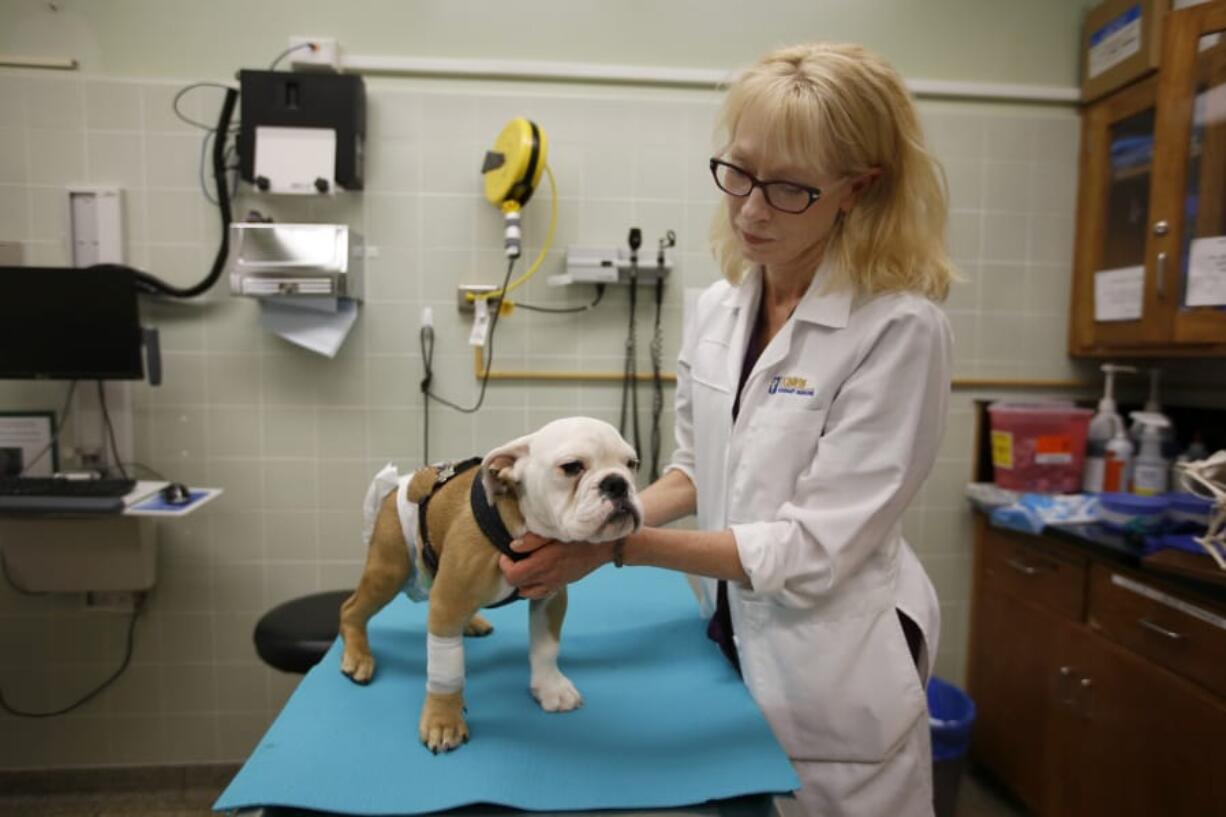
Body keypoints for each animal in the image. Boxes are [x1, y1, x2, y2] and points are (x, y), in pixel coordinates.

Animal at [335, 417, 642, 755]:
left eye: (632, 464)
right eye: (572, 467)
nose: (617, 483)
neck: (520, 524)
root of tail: (396, 486)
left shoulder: (550, 594)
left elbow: (546, 646)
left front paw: (550, 686)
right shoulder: (450, 598)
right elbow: (447, 670)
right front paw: (443, 720)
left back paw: (471, 623)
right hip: (389, 570)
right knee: (351, 609)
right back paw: (358, 655)